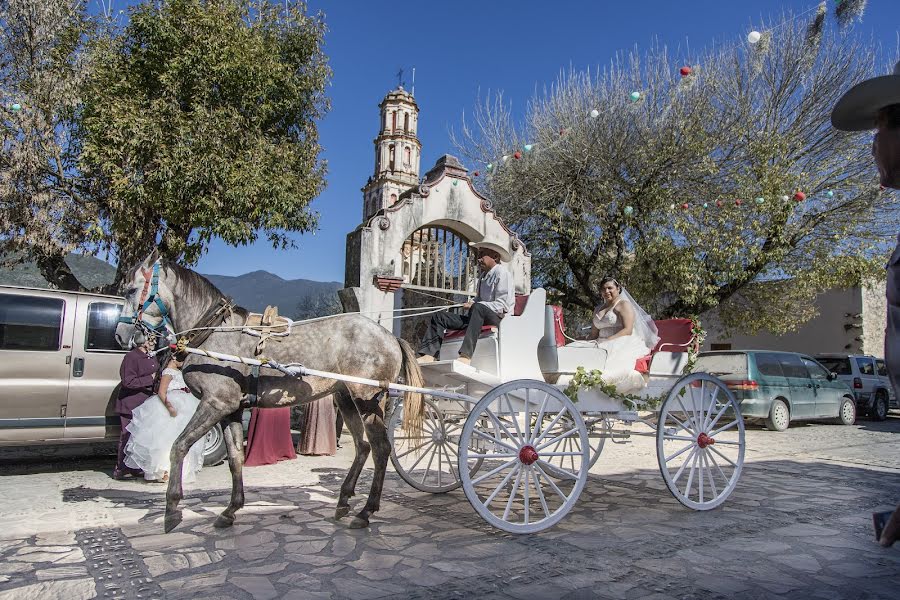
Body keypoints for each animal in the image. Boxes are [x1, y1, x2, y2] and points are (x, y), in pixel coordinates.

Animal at [115, 251, 426, 532]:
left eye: (131, 290)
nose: (121, 334)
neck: (214, 332)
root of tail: (390, 337)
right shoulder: (231, 409)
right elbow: (235, 458)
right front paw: (231, 509)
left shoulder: (215, 404)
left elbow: (178, 446)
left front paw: (172, 509)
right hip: (346, 398)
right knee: (363, 447)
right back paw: (344, 500)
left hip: (367, 399)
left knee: (381, 448)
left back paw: (366, 511)